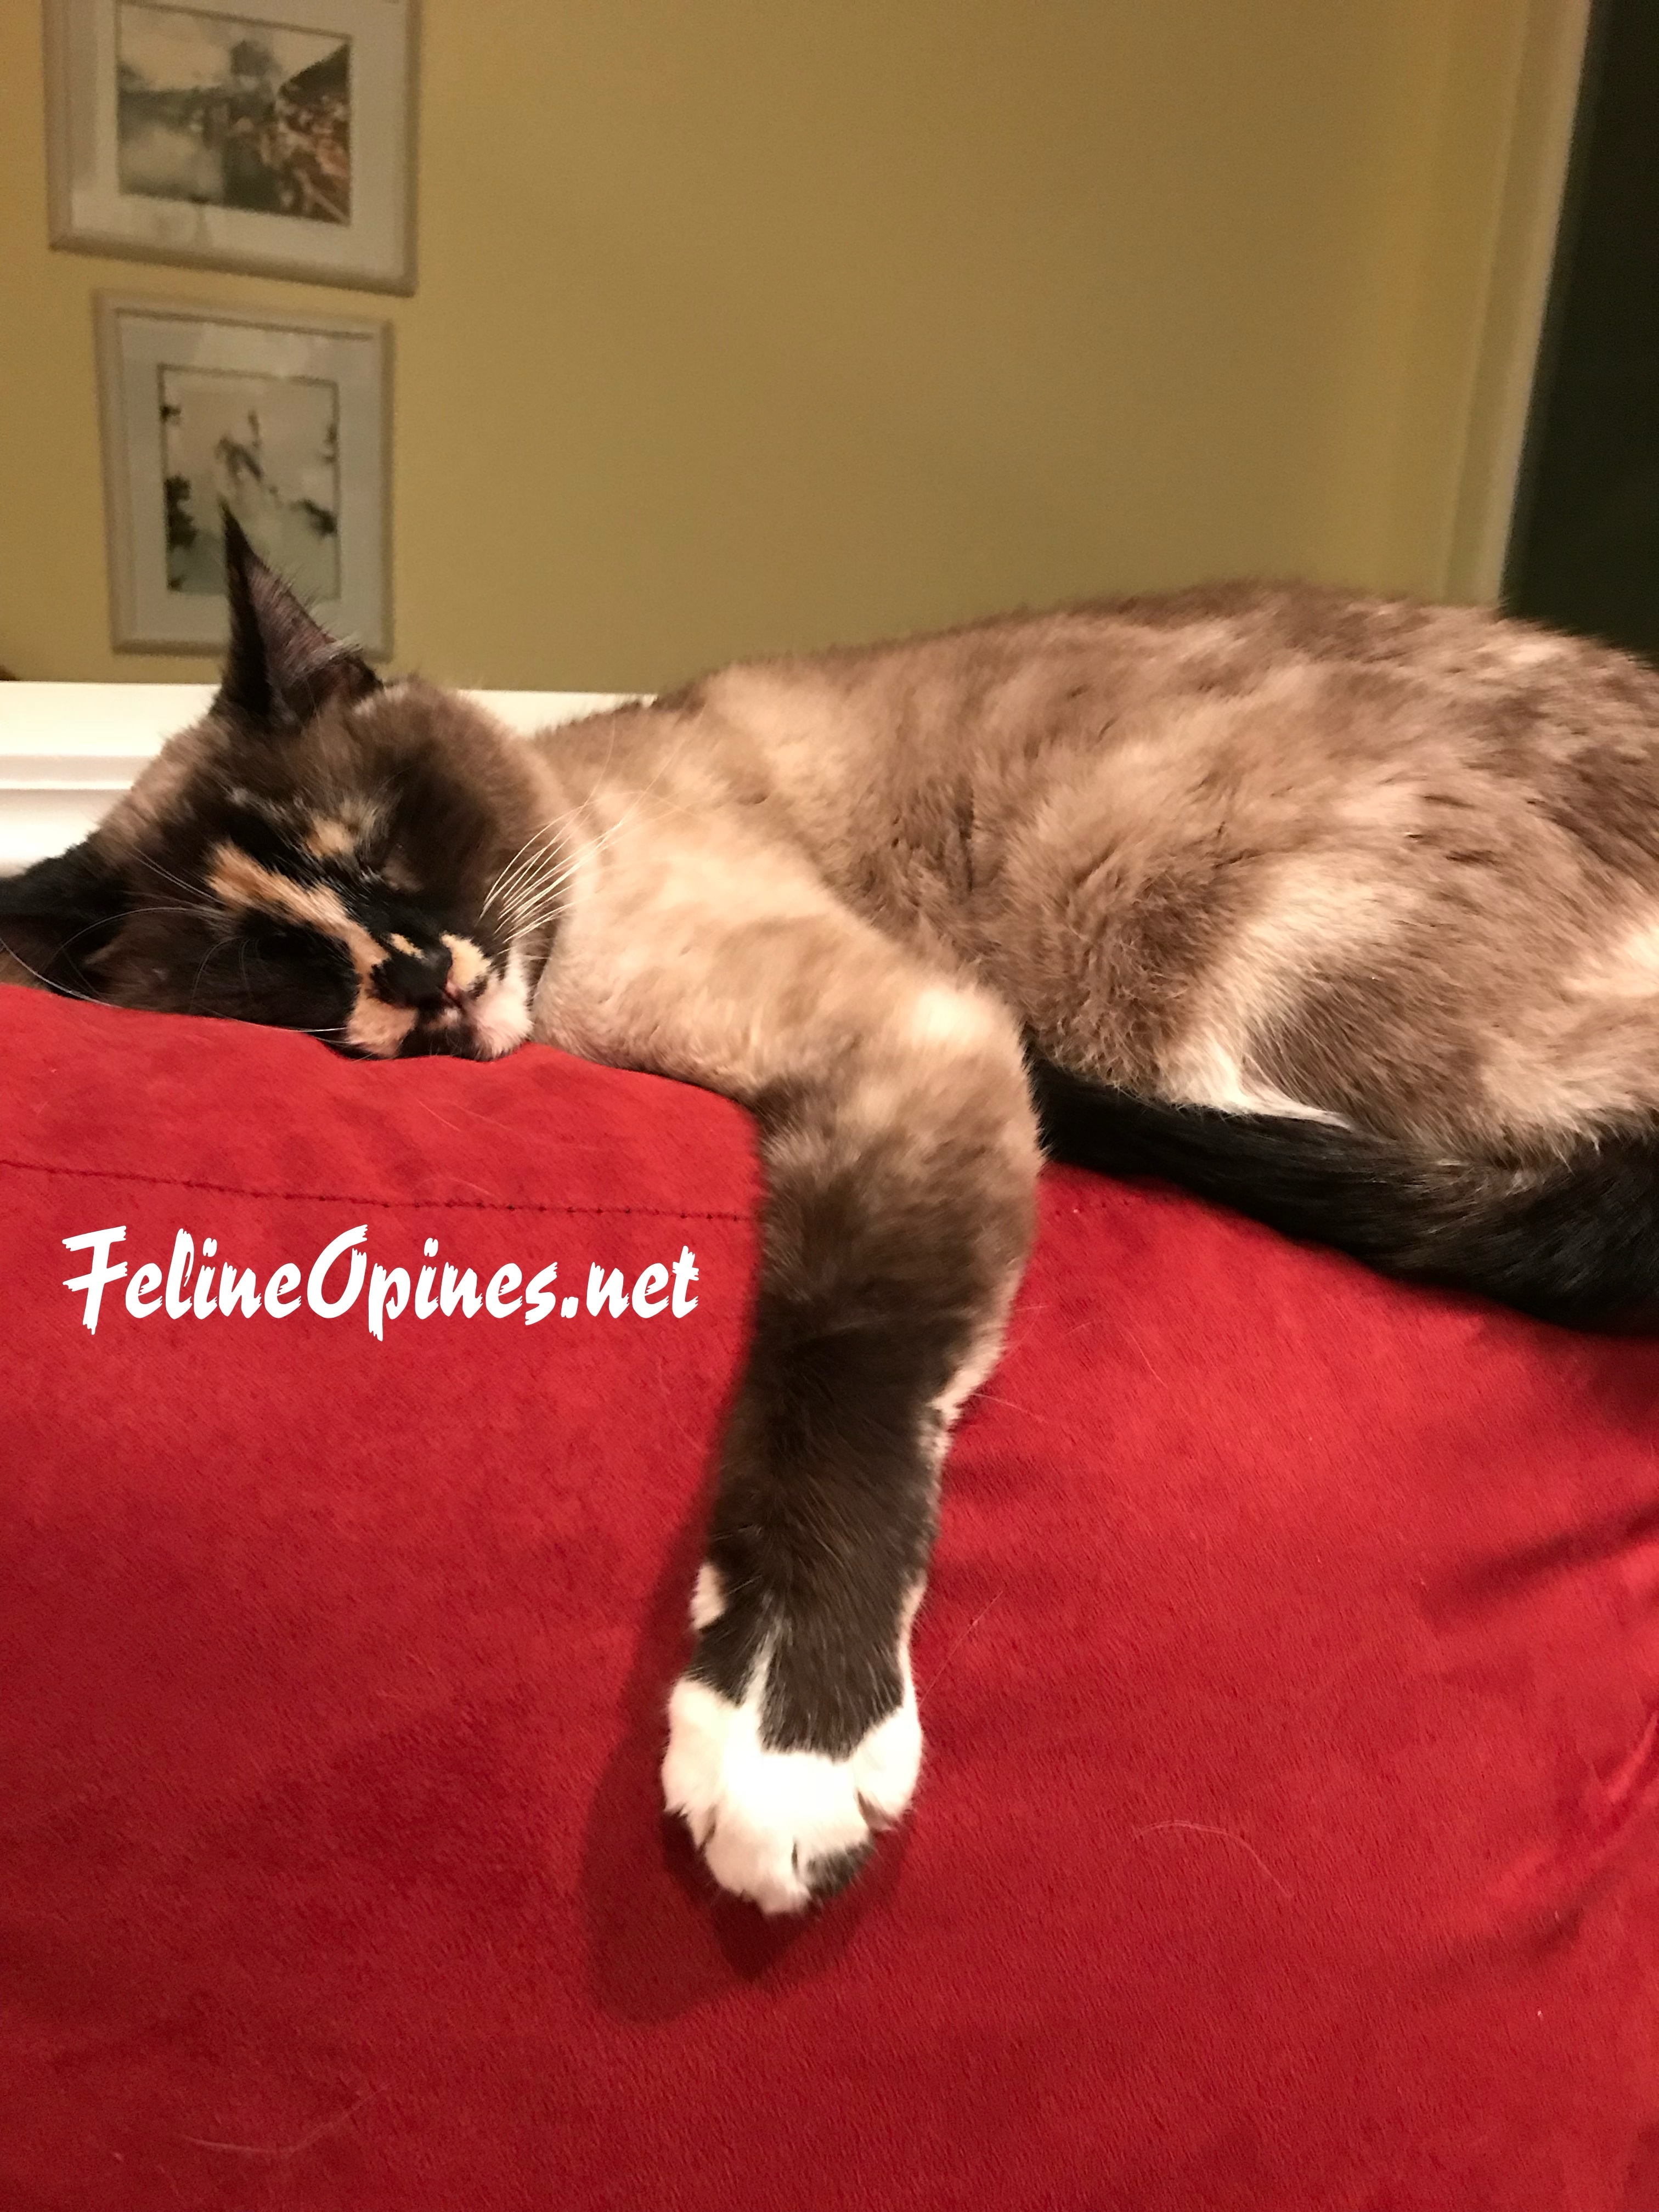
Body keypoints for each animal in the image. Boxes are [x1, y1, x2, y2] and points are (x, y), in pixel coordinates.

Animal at [8, 514, 1659, 1912]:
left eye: (378, 850)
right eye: (276, 967)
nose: (421, 975)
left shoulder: (906, 1043)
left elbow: (832, 1388)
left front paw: (780, 1754)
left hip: (1162, 906)